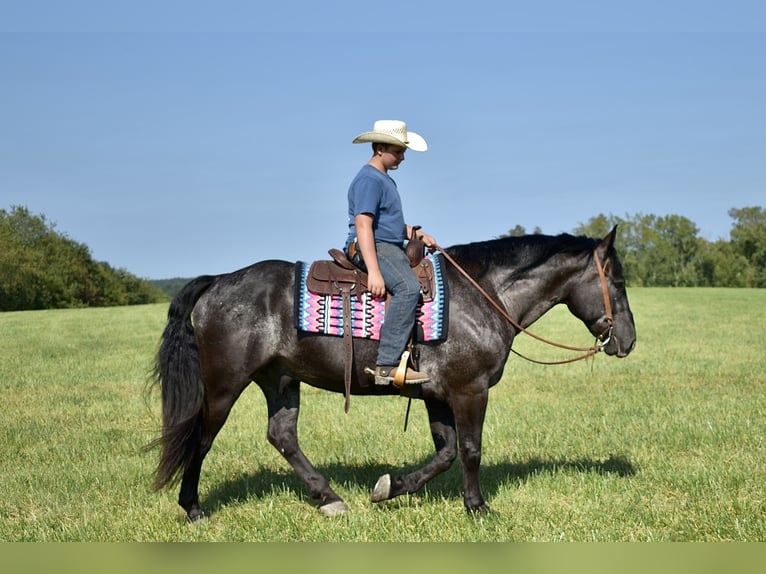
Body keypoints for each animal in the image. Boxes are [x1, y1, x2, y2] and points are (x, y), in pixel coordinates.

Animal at [148, 227, 636, 520]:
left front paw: (392, 487)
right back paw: (193, 508)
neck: (484, 294)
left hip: (281, 380)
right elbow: (470, 450)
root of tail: (218, 281)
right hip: (224, 386)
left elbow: (446, 453)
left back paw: (328, 497)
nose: (628, 341)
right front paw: (477, 507)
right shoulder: (469, 390)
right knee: (201, 437)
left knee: (282, 436)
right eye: (617, 281)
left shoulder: (437, 395)